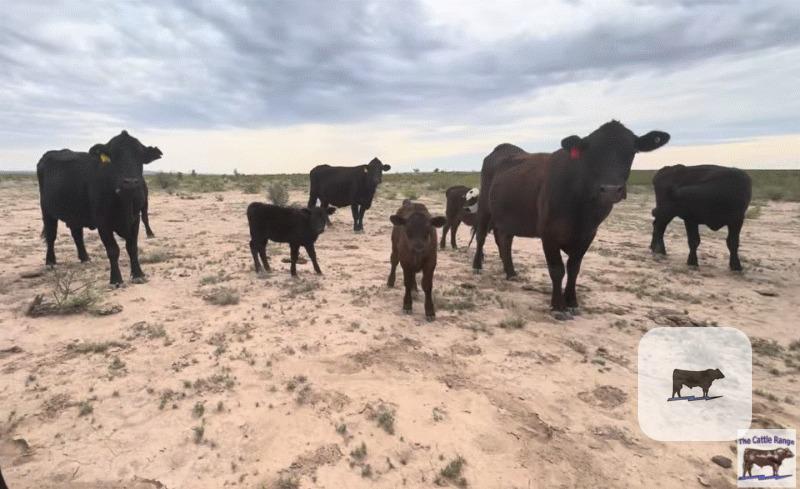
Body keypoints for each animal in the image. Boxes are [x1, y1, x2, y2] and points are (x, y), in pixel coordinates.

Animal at [37, 130, 162, 285]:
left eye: (140, 156)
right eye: (114, 156)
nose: (130, 182)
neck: (124, 202)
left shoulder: (135, 219)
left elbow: (132, 247)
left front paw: (138, 274)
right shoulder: (103, 223)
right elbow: (113, 250)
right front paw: (116, 279)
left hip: (75, 213)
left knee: (77, 234)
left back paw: (85, 258)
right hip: (47, 211)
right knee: (51, 236)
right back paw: (50, 262)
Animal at [471, 121, 670, 315]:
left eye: (631, 151)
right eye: (592, 153)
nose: (611, 190)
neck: (581, 209)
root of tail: (502, 148)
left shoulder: (588, 234)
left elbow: (574, 268)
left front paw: (572, 301)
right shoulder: (548, 233)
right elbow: (557, 269)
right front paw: (558, 305)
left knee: (504, 240)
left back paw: (510, 271)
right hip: (484, 208)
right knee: (481, 236)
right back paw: (477, 266)